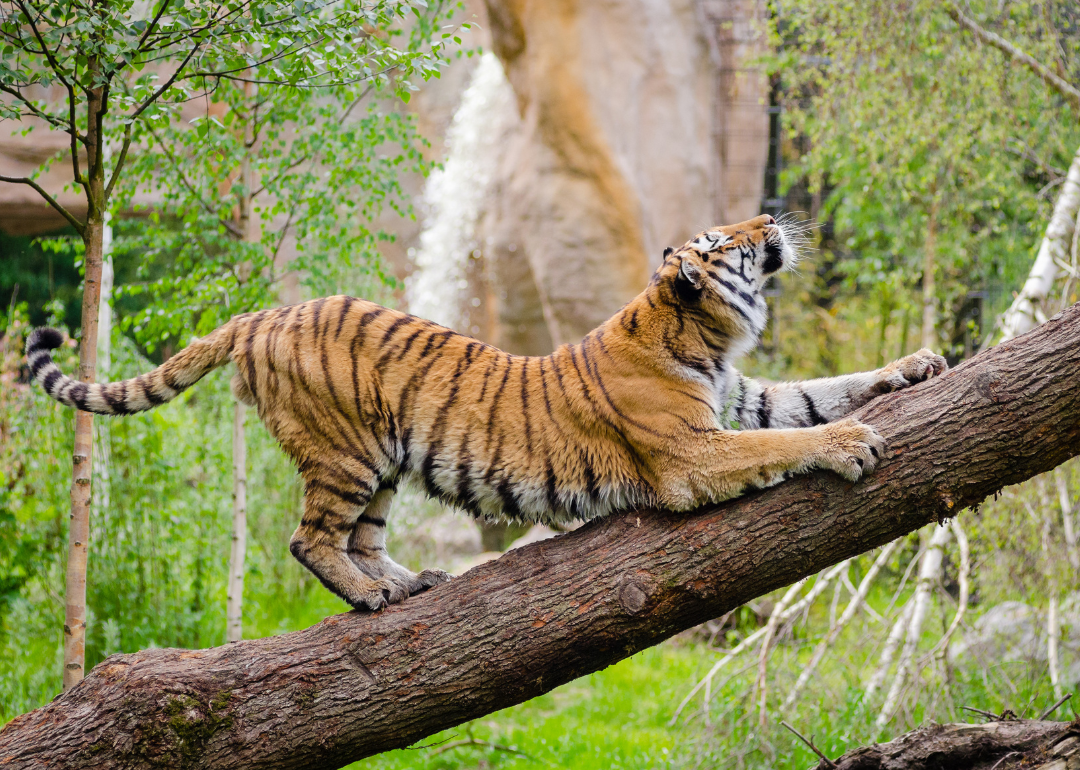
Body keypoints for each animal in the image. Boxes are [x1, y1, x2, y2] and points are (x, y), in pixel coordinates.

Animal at [25, 215, 946, 613]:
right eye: (727, 242)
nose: (771, 218)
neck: (705, 335)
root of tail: (262, 314)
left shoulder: (740, 400)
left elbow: (817, 391)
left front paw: (916, 364)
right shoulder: (690, 454)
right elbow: (797, 433)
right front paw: (853, 443)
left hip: (385, 463)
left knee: (363, 536)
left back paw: (405, 582)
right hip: (347, 453)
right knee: (309, 538)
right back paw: (370, 598)